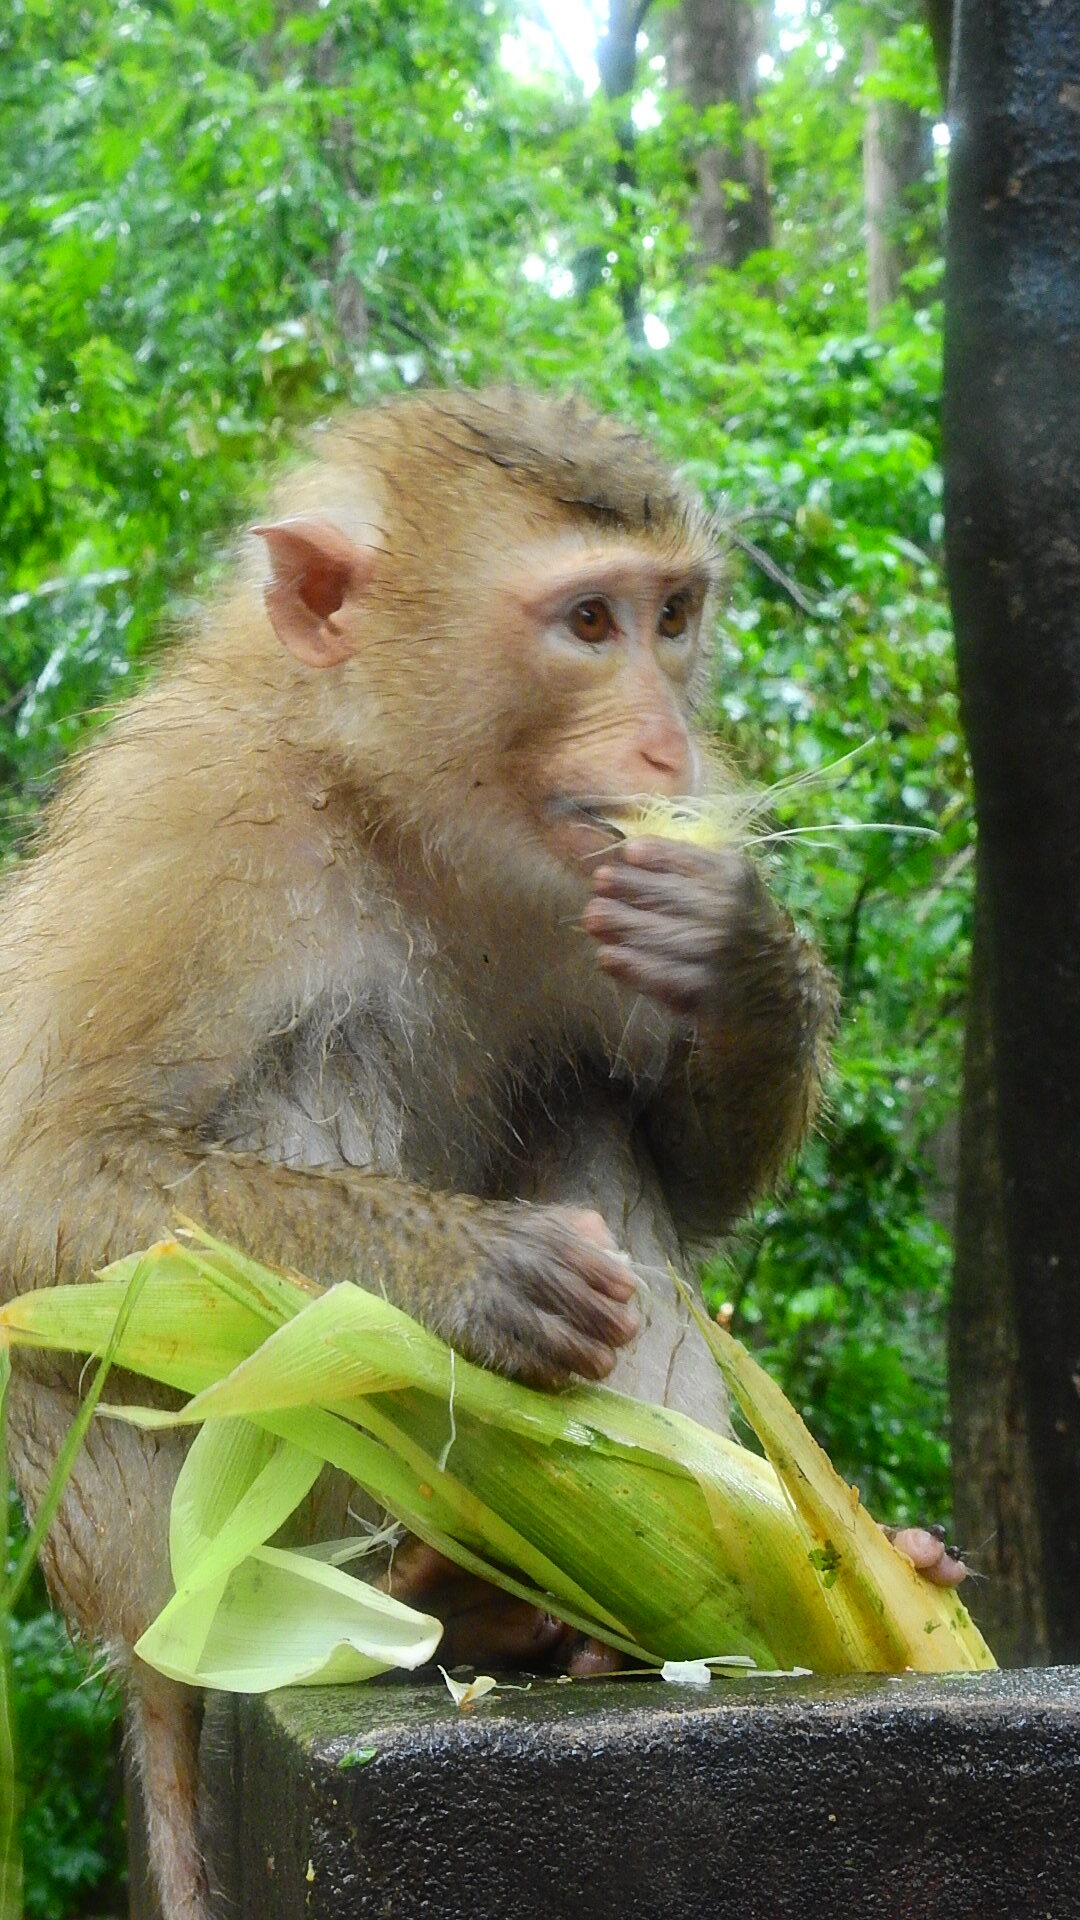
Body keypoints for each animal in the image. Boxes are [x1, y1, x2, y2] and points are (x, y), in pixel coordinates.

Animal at [0, 378, 957, 1920]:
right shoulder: (199, 837)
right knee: (302, 1087)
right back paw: (441, 1601)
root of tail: (128, 1626)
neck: (397, 804)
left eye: (672, 615)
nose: (666, 750)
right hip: (170, 1551)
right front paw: (475, 1277)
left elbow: (687, 1170)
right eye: (586, 624)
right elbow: (42, 1180)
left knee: (582, 1102)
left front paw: (741, 957)